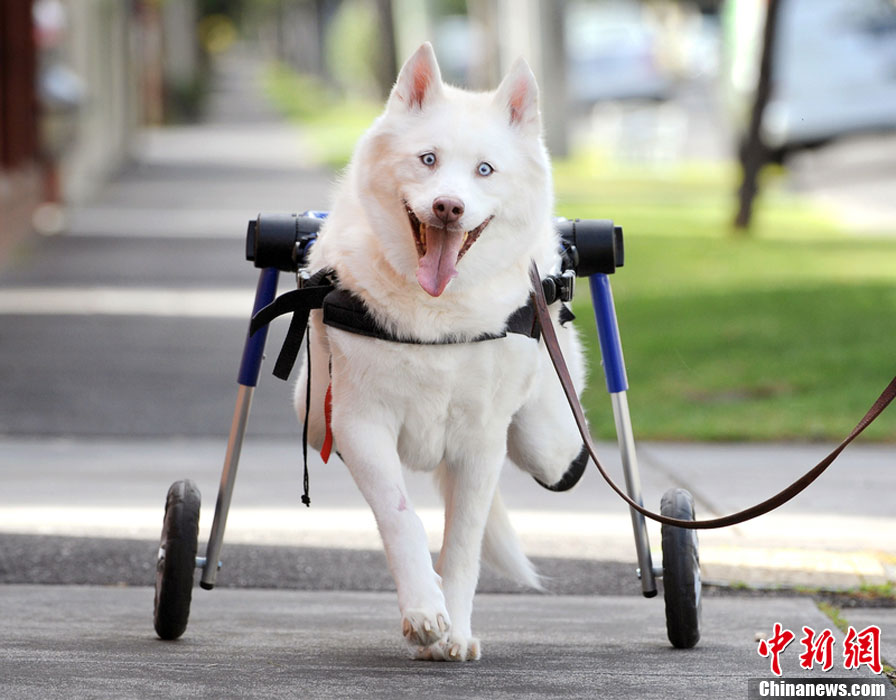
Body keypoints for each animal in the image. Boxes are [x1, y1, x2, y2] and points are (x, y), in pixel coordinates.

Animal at [296, 45, 588, 660]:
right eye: (427, 159)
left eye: (485, 170)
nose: (449, 208)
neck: (435, 314)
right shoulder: (359, 425)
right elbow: (401, 519)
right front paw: (424, 611)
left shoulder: (481, 443)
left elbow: (462, 545)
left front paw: (453, 629)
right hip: (314, 409)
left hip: (547, 441)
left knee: (555, 458)